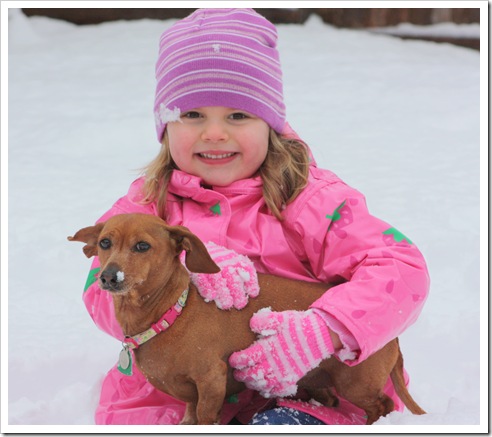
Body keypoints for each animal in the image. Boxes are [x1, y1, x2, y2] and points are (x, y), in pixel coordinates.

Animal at [69, 213, 425, 424]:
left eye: (143, 246)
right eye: (105, 242)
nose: (109, 277)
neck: (172, 313)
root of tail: (394, 337)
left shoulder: (211, 382)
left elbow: (206, 416)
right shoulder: (191, 398)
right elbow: (190, 416)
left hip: (357, 384)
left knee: (382, 406)